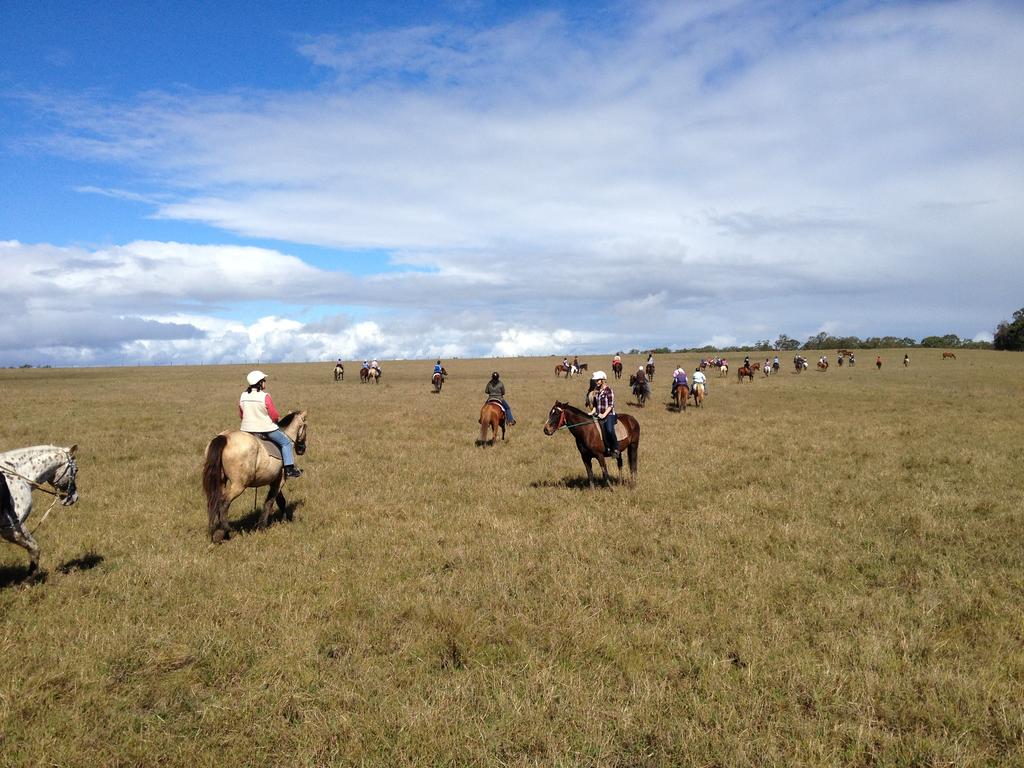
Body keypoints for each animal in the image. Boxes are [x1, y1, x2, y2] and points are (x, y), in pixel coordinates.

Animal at [0, 444, 79, 573]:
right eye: (76, 470)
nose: (74, 497)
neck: (17, 476)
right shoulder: (12, 528)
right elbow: (35, 548)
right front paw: (31, 575)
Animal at [201, 411, 305, 544]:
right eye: (305, 426)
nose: (302, 449)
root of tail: (225, 437)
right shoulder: (280, 480)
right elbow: (270, 501)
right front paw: (263, 526)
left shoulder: (274, 480)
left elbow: (280, 500)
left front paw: (285, 519)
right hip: (239, 485)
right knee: (224, 502)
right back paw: (224, 531)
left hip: (221, 482)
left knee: (217, 501)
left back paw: (220, 532)